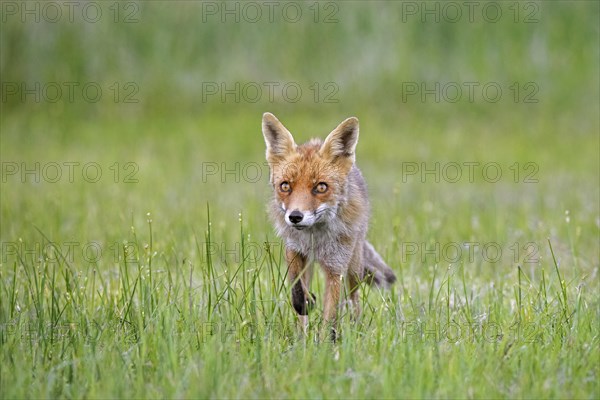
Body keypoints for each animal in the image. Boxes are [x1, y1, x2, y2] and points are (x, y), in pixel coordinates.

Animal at [260, 113, 396, 340]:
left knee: (353, 298)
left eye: (321, 187)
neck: (314, 238)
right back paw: (302, 334)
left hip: (354, 267)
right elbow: (296, 288)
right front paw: (306, 304)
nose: (295, 217)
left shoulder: (335, 266)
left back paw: (355, 326)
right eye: (285, 186)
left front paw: (326, 343)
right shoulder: (294, 250)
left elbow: (331, 311)